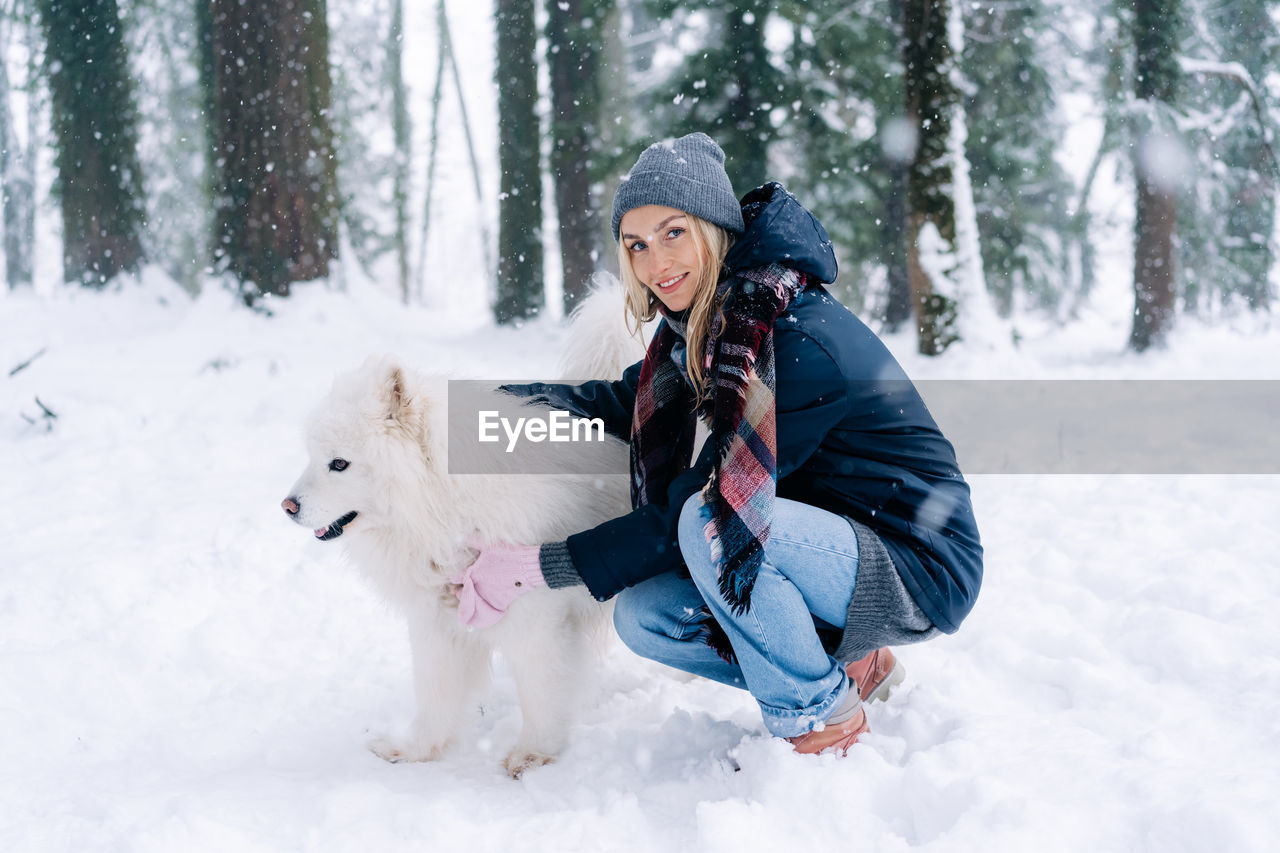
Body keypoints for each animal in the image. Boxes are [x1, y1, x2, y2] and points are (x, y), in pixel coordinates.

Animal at [281, 284, 640, 768]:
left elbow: (542, 692)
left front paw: (532, 755)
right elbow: (435, 694)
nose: (287, 506)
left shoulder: (538, 619)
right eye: (313, 457)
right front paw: (414, 750)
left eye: (339, 464)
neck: (443, 508)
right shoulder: (436, 621)